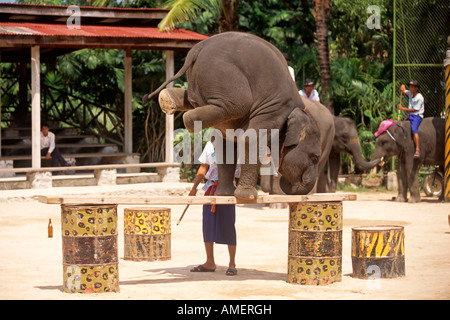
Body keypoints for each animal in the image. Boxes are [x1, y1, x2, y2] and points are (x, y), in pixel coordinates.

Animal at [142, 31, 332, 199]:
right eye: (314, 157)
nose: (291, 187)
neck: (299, 109)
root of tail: (197, 48)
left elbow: (224, 142)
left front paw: (226, 194)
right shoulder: (273, 111)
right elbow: (250, 139)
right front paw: (247, 196)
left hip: (203, 78)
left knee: (198, 100)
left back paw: (168, 99)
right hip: (222, 73)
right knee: (239, 102)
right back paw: (188, 120)